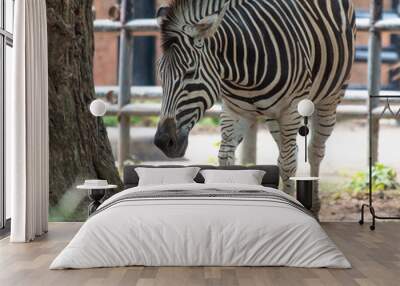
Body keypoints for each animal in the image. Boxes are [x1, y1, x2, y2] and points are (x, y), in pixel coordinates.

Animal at [154, 0, 356, 214]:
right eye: (161, 75)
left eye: (189, 73)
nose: (163, 142)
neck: (243, 71)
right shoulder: (233, 111)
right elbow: (226, 159)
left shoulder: (291, 110)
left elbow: (288, 165)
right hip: (273, 116)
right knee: (288, 151)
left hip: (329, 99)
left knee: (314, 151)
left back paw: (314, 205)